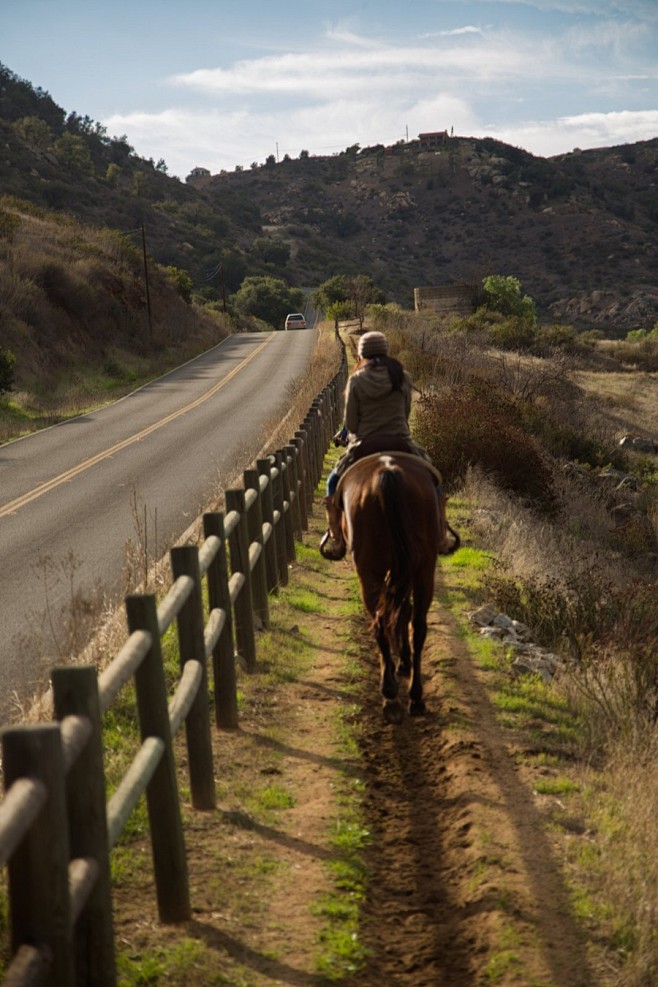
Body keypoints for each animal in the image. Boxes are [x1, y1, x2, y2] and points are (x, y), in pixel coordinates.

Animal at [336, 452, 458, 720]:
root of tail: (387, 475)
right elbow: (403, 611)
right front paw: (403, 660)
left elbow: (399, 611)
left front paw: (400, 660)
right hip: (422, 568)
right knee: (415, 624)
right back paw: (411, 696)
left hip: (371, 570)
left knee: (383, 621)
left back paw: (392, 693)